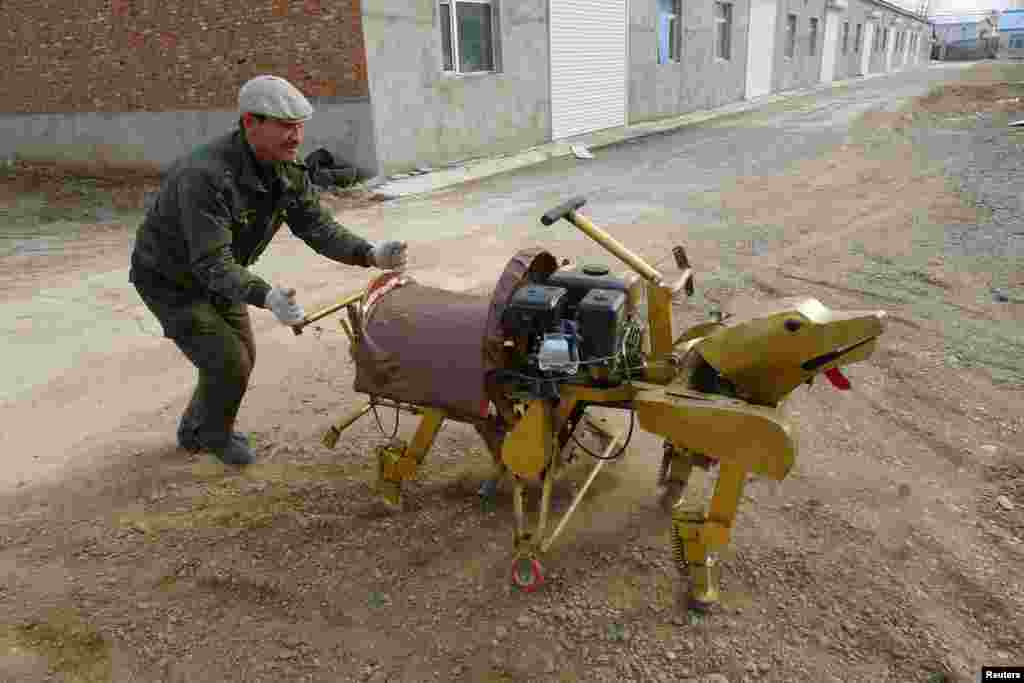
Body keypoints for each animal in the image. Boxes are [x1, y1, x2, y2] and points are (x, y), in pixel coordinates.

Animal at [292, 197, 884, 610]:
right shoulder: (538, 394)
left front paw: (693, 561)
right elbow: (532, 468)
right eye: (796, 324)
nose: (877, 320)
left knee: (445, 436)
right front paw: (527, 556)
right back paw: (393, 490)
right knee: (409, 450)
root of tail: (375, 302)